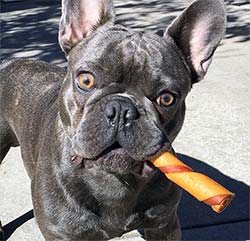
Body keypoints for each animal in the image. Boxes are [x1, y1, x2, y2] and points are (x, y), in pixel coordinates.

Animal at [0, 0, 227, 240]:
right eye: (86, 80)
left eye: (167, 98)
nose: (121, 108)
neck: (112, 179)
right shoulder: (61, 234)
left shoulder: (164, 226)